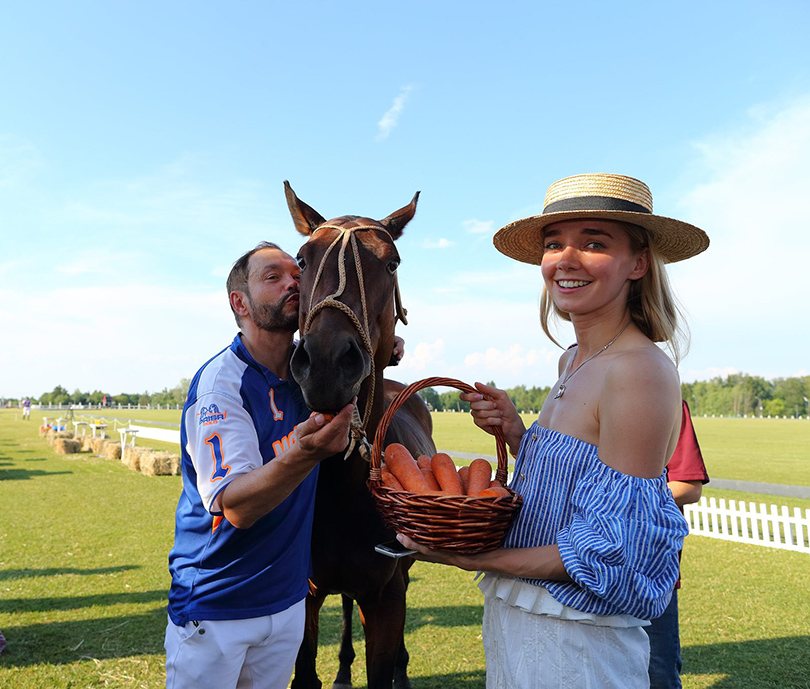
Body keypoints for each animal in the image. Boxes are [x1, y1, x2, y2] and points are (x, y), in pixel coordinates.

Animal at [284, 183, 436, 688]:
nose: (327, 363)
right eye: (302, 259)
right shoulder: (305, 596)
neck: (340, 491)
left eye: (392, 263)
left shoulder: (385, 597)